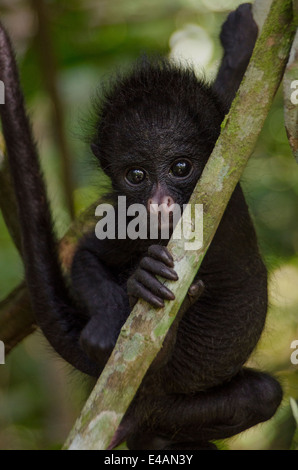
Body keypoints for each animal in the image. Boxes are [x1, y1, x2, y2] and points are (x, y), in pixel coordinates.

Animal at [0, 4, 282, 452]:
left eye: (180, 167)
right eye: (136, 175)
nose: (158, 205)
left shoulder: (226, 159)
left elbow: (236, 103)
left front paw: (241, 44)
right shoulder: (126, 216)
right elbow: (88, 254)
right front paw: (108, 319)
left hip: (171, 409)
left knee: (261, 395)